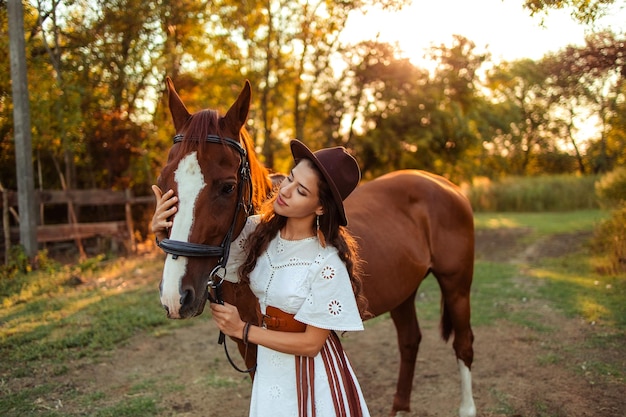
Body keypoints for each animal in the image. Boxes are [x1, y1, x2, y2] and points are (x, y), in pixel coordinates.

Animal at [155, 79, 472, 416]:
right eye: (163, 183)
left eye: (227, 187)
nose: (176, 295)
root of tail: (446, 184)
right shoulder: (249, 342)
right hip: (403, 291)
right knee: (410, 340)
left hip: (457, 287)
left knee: (463, 344)